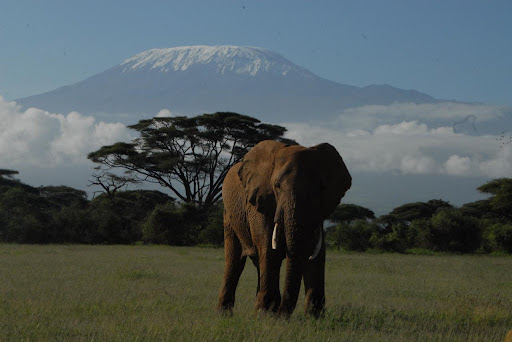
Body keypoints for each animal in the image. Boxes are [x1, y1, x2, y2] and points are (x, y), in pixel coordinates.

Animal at [216, 140, 352, 316]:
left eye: (321, 188)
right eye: (277, 186)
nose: (282, 316)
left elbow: (316, 252)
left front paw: (313, 317)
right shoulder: (258, 201)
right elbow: (268, 248)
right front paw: (267, 314)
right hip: (229, 215)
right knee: (235, 261)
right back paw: (225, 314)